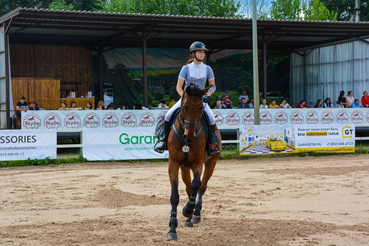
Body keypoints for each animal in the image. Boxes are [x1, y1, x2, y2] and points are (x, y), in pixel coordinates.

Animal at [164, 84, 221, 240]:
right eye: (184, 107)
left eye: (201, 108)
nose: (189, 137)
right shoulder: (173, 163)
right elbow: (175, 196)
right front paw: (172, 229)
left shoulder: (198, 163)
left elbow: (197, 184)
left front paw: (188, 210)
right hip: (184, 168)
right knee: (189, 190)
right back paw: (189, 218)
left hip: (211, 162)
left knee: (201, 187)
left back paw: (194, 214)